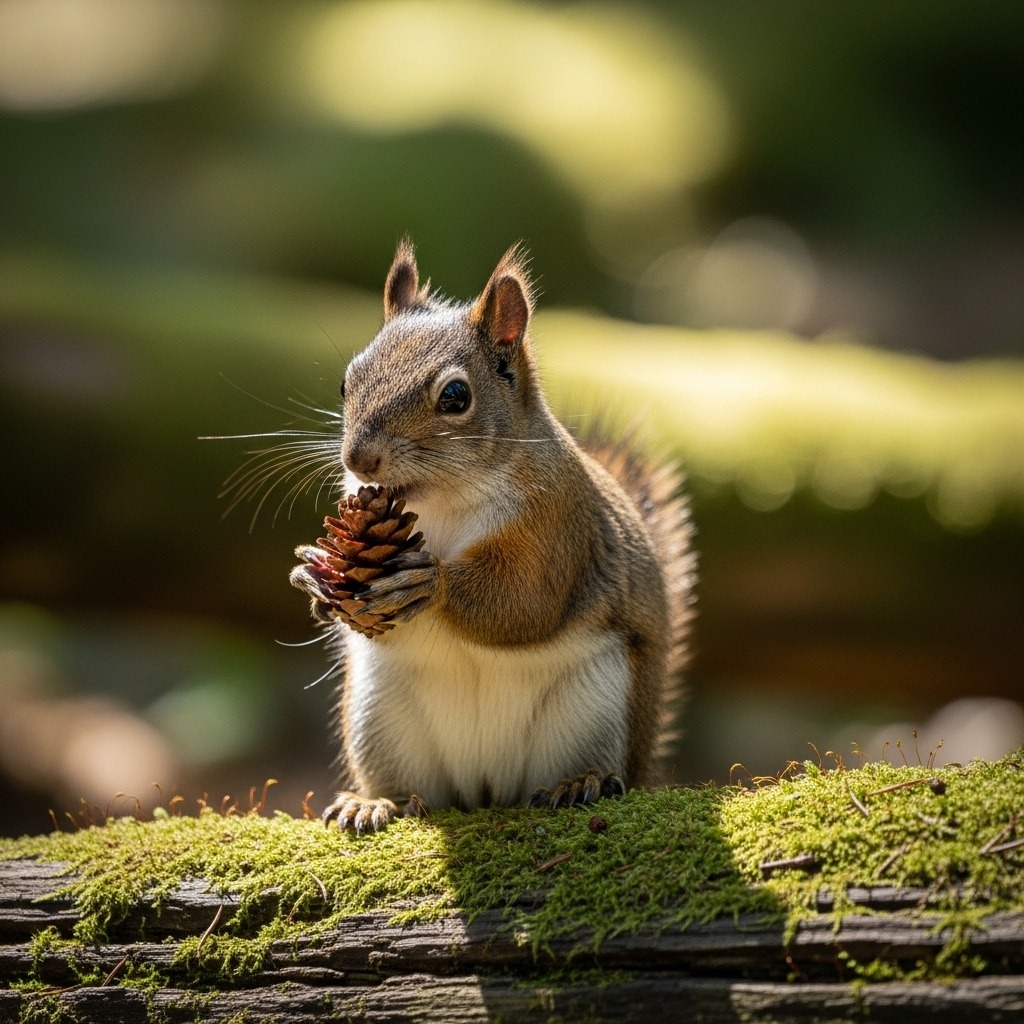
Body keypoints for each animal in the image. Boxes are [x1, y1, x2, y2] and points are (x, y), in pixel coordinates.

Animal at [291, 239, 695, 833]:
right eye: (347, 381)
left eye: (456, 396)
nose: (358, 459)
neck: (439, 500)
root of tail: (486, 789)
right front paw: (314, 577)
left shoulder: (556, 527)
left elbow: (524, 603)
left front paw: (428, 583)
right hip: (379, 718)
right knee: (413, 792)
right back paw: (375, 803)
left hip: (596, 707)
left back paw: (581, 783)